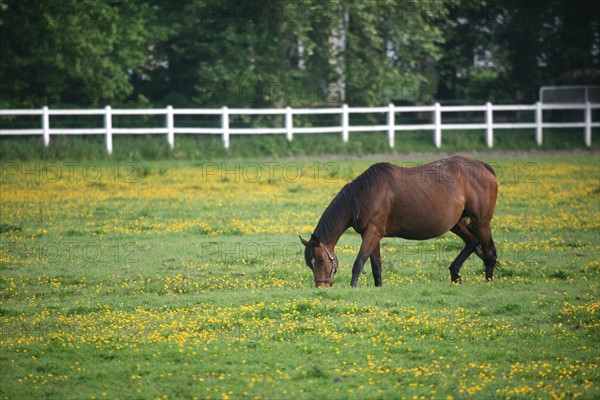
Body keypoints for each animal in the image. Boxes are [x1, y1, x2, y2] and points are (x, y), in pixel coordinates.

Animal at [298, 156, 496, 288]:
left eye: (321, 260)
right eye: (310, 263)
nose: (321, 287)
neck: (364, 193)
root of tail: (484, 166)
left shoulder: (373, 232)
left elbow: (359, 263)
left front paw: (352, 287)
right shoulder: (373, 234)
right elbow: (376, 266)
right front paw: (378, 287)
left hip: (481, 221)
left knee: (489, 251)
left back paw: (488, 281)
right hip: (456, 223)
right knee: (472, 242)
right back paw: (455, 274)